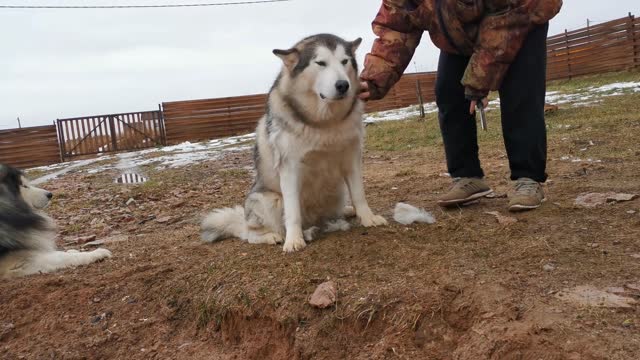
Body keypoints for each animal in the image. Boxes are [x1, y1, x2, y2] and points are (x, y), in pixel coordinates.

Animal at [202, 34, 388, 253]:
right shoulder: (290, 168)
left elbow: (359, 194)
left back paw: (346, 211)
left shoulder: (352, 158)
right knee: (250, 234)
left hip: (337, 191)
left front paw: (368, 218)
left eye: (344, 61)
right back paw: (272, 236)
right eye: (321, 63)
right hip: (269, 200)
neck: (324, 122)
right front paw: (293, 240)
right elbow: (292, 212)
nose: (343, 85)